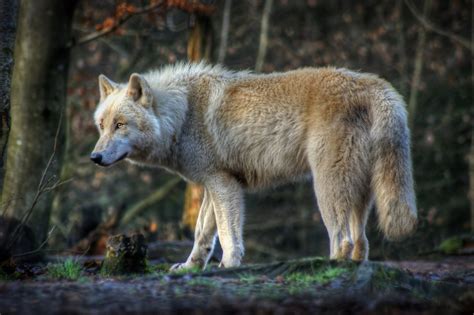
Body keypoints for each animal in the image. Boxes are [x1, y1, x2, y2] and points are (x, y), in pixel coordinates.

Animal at [90, 62, 416, 272]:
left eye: (121, 125)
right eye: (102, 125)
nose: (95, 157)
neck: (181, 115)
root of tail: (376, 84)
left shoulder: (224, 185)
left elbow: (227, 234)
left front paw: (229, 265)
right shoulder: (214, 184)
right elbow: (202, 233)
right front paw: (189, 267)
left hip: (326, 189)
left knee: (343, 238)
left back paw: (328, 266)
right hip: (359, 192)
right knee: (362, 242)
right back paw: (354, 266)